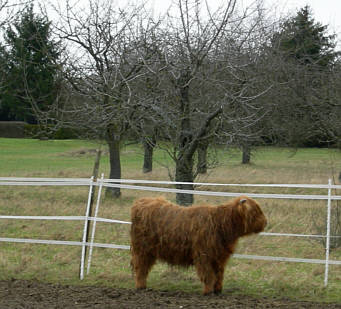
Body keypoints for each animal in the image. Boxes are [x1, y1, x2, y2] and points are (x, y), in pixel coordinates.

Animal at [130, 195, 266, 294]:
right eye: (255, 212)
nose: (265, 222)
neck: (221, 223)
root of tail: (141, 201)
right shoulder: (203, 255)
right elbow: (208, 274)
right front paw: (208, 291)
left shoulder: (219, 257)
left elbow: (219, 274)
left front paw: (218, 290)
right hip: (142, 250)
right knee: (140, 267)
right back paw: (140, 286)